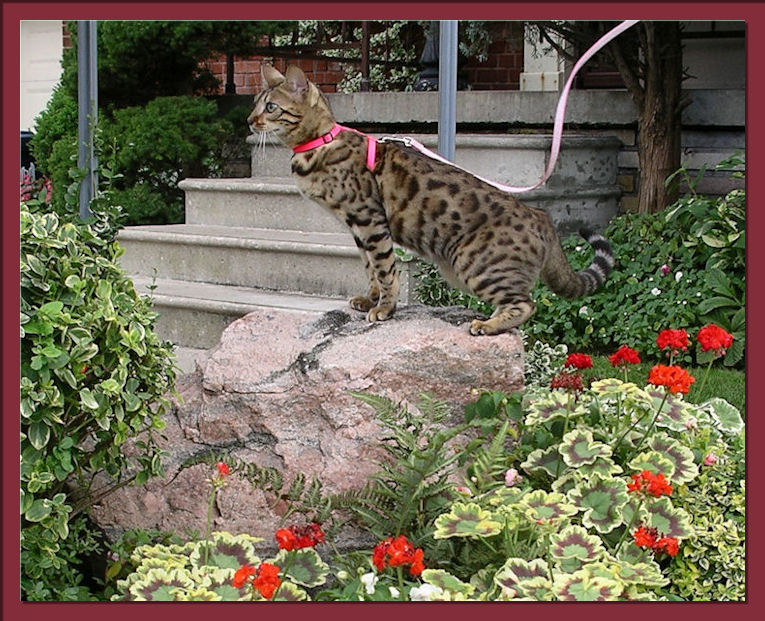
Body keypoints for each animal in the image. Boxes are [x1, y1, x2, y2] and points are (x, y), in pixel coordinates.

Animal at [248, 66, 612, 336]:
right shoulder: (357, 229)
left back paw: (487, 324)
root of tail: (542, 217)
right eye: (255, 104)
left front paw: (385, 308)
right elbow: (370, 268)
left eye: (271, 107)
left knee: (526, 304)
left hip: (473, 264)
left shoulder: (369, 220)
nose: (250, 120)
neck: (320, 142)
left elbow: (385, 268)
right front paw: (370, 299)